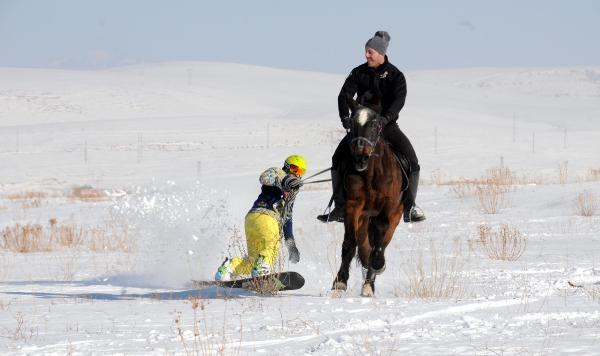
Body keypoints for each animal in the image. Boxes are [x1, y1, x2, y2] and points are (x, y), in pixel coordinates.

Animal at [330, 98, 406, 298]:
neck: (371, 172)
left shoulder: (387, 209)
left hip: (394, 218)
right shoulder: (353, 207)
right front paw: (339, 282)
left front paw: (377, 267)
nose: (360, 157)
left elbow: (378, 244)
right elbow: (349, 244)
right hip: (363, 221)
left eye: (375, 124)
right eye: (351, 123)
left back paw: (369, 284)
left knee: (381, 244)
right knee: (363, 246)